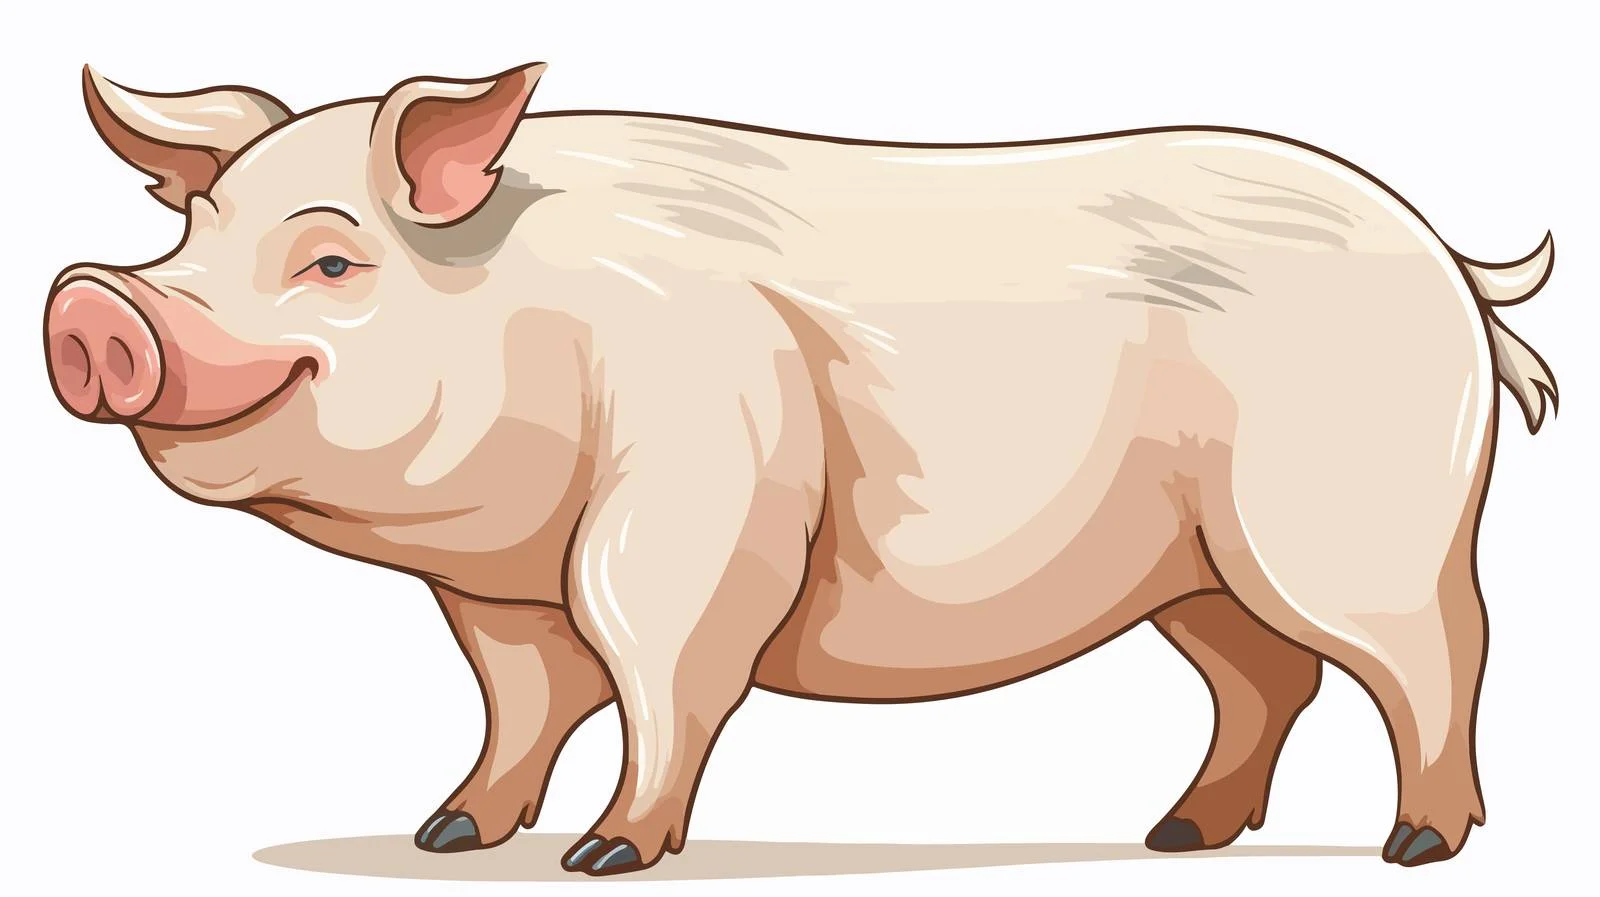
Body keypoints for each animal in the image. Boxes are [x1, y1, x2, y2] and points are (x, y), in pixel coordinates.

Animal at [44, 61, 1558, 875]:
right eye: (190, 232)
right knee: (1267, 678)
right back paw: (1175, 838)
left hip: (1358, 530)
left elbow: (659, 670)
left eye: (331, 262)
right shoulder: (496, 590)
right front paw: (445, 835)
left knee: (1437, 654)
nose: (93, 303)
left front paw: (605, 857)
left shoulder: (685, 510)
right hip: (1191, 571)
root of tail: (1452, 261)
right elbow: (521, 696)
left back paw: (1417, 846)